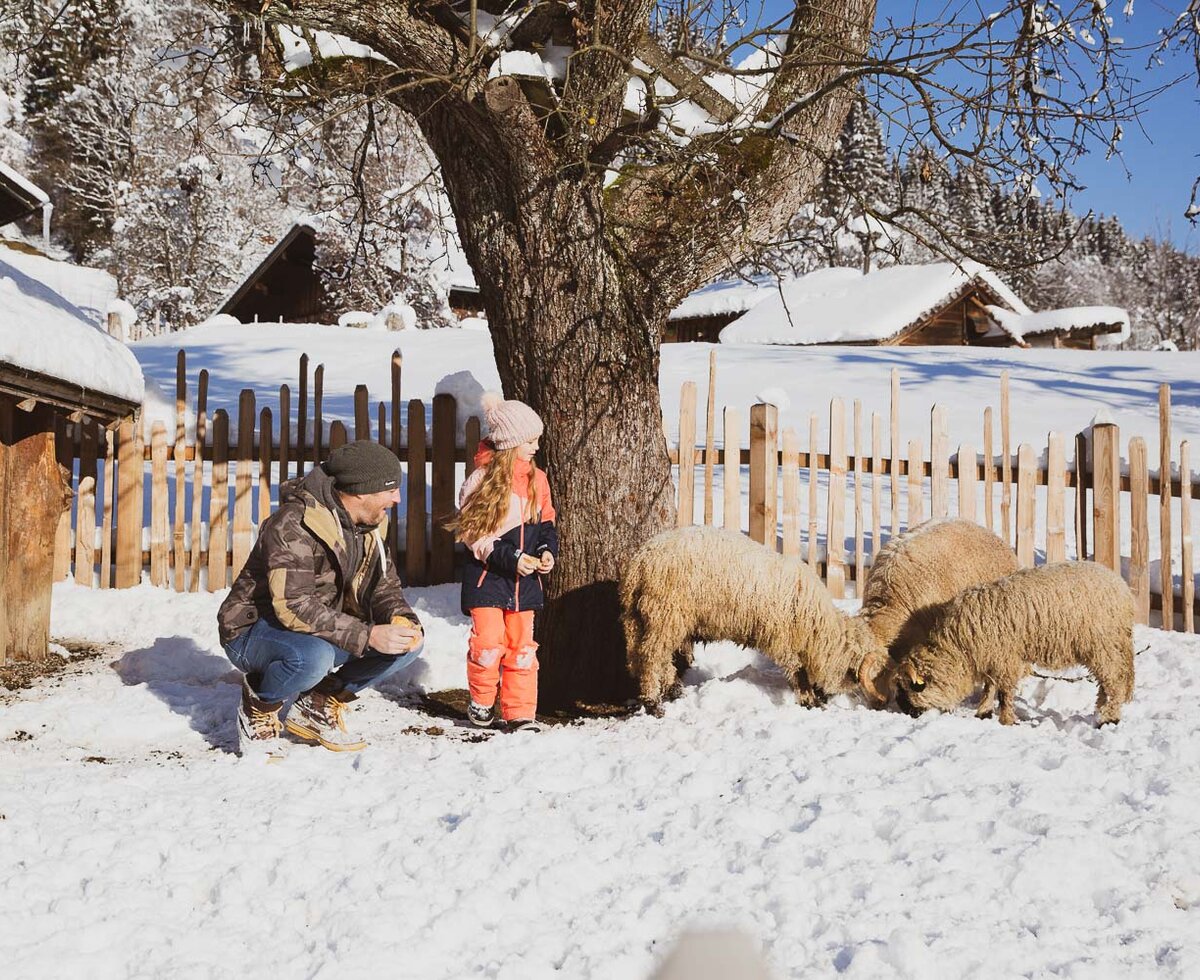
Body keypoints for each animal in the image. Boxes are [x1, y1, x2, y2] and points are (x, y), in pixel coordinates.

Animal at [619, 527, 892, 710]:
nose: (829, 698)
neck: (814, 626)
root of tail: (640, 563)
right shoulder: (781, 639)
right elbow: (798, 669)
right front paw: (809, 700)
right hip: (665, 613)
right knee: (651, 656)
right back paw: (653, 702)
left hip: (643, 618)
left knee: (645, 655)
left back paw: (671, 690)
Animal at [892, 558, 1132, 724]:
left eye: (909, 688)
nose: (906, 713)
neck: (959, 645)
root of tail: (1122, 589)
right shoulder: (993, 657)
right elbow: (989, 686)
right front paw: (984, 711)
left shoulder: (1006, 657)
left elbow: (1004, 692)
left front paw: (1006, 719)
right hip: (1105, 647)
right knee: (1107, 682)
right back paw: (1100, 708)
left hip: (1103, 643)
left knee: (1115, 681)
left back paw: (1109, 717)